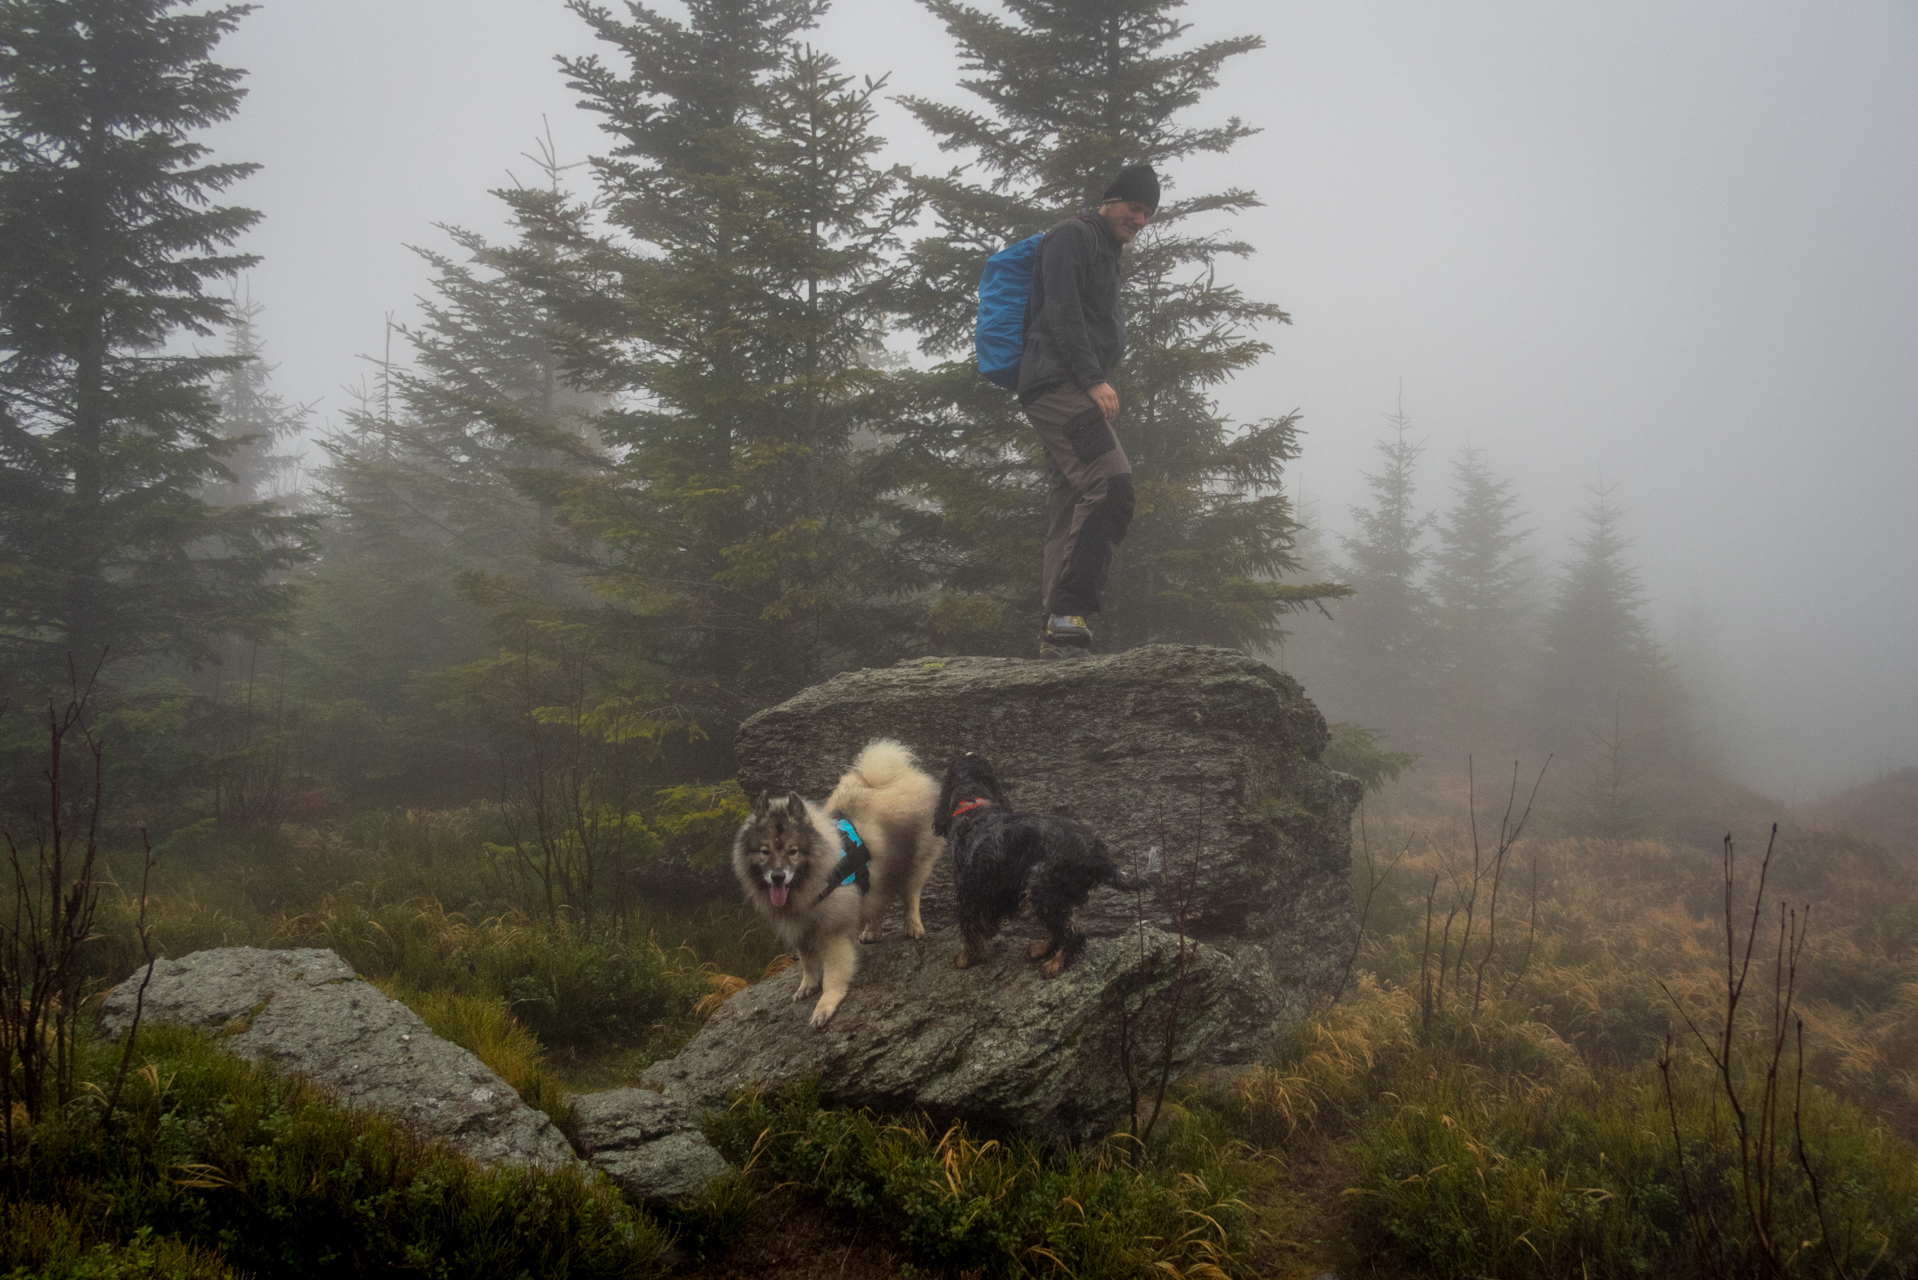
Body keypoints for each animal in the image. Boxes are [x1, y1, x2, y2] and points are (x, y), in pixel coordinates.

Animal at [928, 752, 1150, 982]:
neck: (973, 803)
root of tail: (1096, 852)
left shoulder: (968, 890)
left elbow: (969, 928)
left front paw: (965, 958)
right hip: (1056, 893)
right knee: (1062, 927)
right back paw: (1041, 949)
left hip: (1041, 887)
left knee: (1073, 933)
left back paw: (1054, 964)